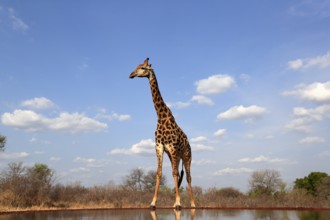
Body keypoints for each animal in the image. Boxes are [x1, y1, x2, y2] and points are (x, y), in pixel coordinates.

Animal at [130, 57, 196, 209]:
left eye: (143, 68)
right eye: (137, 66)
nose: (131, 74)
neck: (161, 117)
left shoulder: (172, 147)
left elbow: (174, 174)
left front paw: (178, 203)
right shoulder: (159, 147)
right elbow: (159, 173)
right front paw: (153, 202)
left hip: (186, 156)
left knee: (188, 176)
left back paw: (192, 203)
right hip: (174, 156)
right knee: (177, 173)